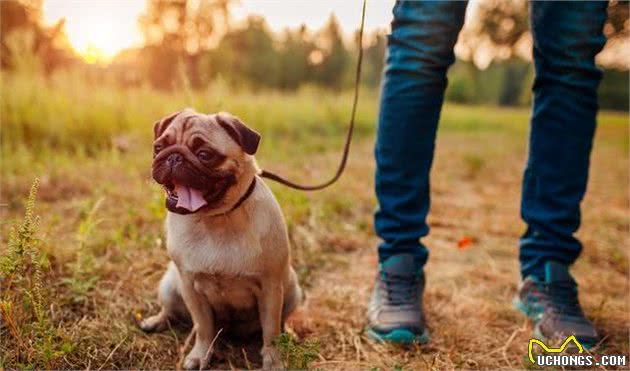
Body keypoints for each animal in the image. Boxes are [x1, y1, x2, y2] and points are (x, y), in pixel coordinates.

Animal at [141, 109, 304, 370]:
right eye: (158, 147)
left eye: (205, 155)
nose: (173, 157)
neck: (214, 219)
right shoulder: (190, 287)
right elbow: (203, 327)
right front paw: (201, 355)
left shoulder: (270, 288)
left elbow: (270, 331)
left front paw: (273, 360)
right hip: (168, 285)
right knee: (171, 311)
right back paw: (156, 321)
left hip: (291, 290)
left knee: (280, 321)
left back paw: (288, 334)